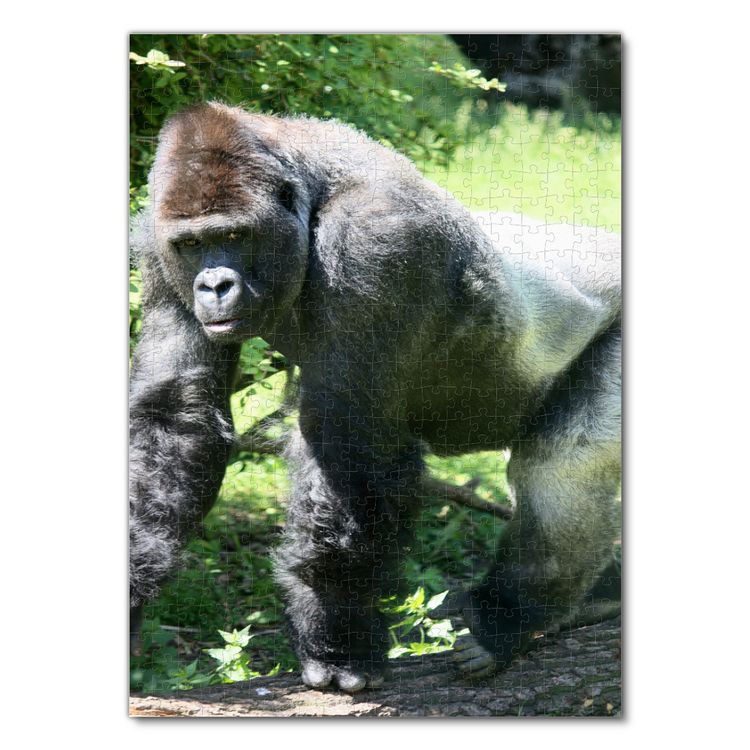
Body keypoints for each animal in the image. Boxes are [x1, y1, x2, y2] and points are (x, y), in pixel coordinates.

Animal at [129, 102, 621, 693]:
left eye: (235, 235)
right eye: (192, 245)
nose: (213, 286)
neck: (309, 190)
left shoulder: (375, 242)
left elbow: (349, 442)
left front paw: (338, 632)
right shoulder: (154, 245)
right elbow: (178, 411)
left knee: (563, 468)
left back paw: (507, 623)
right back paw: (599, 595)